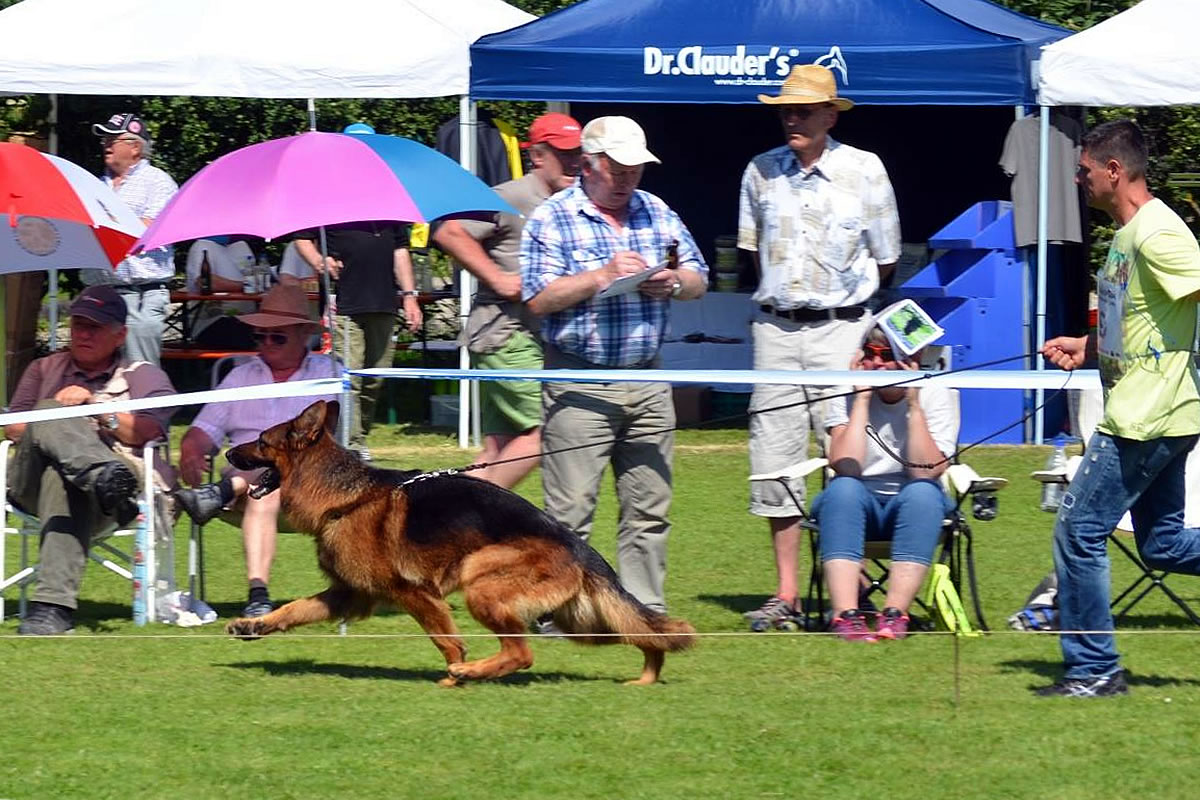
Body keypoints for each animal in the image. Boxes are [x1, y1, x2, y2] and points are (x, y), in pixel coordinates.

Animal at [224, 400, 696, 686]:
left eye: (261, 441)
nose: (228, 452)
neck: (345, 496)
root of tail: (577, 545)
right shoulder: (349, 594)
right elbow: (295, 609)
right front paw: (254, 625)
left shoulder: (415, 594)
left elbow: (445, 640)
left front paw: (453, 672)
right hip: (583, 623)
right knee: (645, 635)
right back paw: (647, 675)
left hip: (480, 580)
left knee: (521, 652)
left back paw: (471, 672)